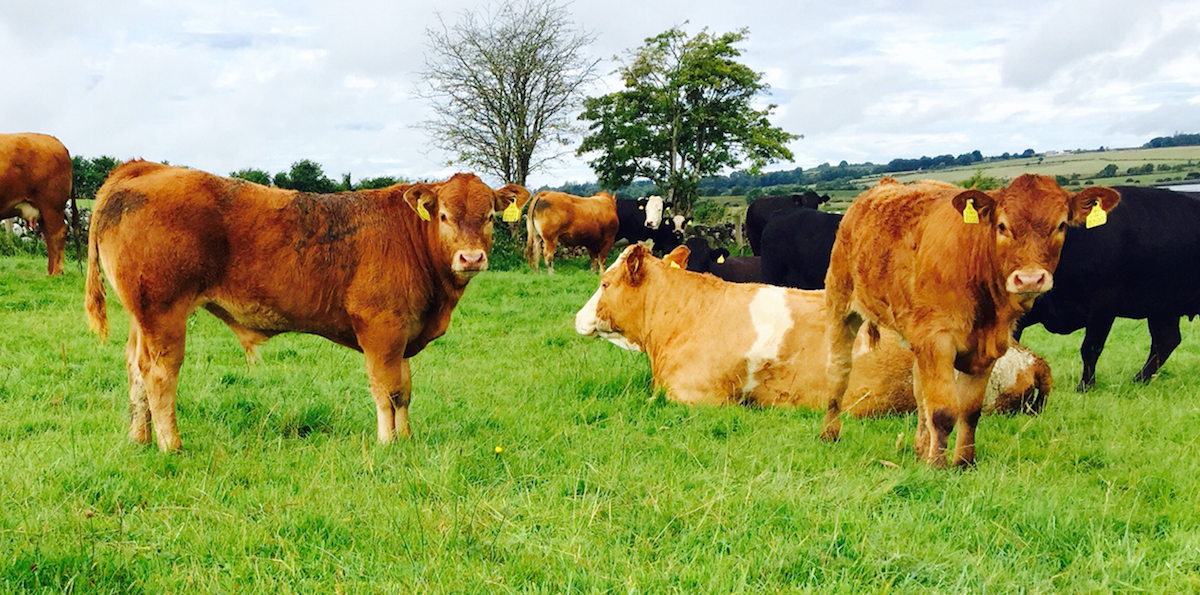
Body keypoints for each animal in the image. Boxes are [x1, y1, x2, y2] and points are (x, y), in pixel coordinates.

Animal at [0, 132, 72, 275]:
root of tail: (55, 141)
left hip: (51, 206)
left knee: (58, 234)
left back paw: (57, 272)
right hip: (44, 212)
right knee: (49, 237)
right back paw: (50, 273)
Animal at [85, 160, 529, 452]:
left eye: (490, 216)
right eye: (444, 215)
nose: (471, 258)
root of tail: (142, 168)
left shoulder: (403, 333)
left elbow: (404, 391)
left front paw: (405, 438)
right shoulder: (381, 328)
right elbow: (385, 389)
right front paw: (387, 443)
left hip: (142, 316)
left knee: (135, 369)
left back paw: (139, 440)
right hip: (165, 312)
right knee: (159, 373)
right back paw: (171, 445)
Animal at [819, 175, 1119, 468]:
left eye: (1061, 225)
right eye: (1002, 225)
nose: (1030, 279)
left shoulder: (987, 349)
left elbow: (970, 411)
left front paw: (963, 462)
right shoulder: (937, 340)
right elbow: (943, 412)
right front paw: (938, 466)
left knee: (919, 390)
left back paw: (920, 448)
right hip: (841, 305)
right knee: (839, 372)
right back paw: (830, 433)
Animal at [1015, 185, 1200, 391]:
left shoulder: (1103, 304)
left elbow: (1090, 348)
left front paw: (1085, 387)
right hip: (1162, 304)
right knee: (1166, 340)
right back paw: (1138, 380)